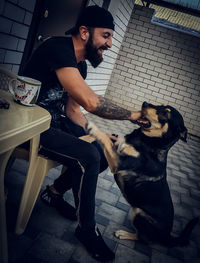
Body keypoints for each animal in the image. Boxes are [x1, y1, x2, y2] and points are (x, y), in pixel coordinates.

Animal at [86, 102, 198, 249]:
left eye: (165, 113)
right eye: (161, 105)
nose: (145, 103)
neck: (149, 142)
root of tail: (167, 236)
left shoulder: (118, 162)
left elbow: (105, 139)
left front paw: (93, 128)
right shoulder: (118, 147)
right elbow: (109, 139)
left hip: (139, 213)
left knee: (142, 239)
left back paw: (124, 234)